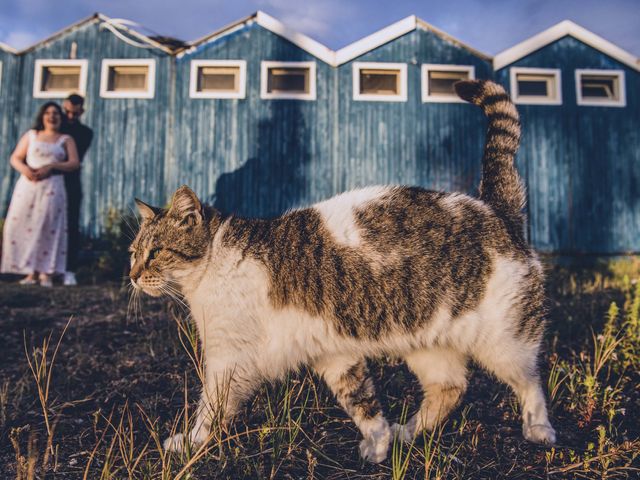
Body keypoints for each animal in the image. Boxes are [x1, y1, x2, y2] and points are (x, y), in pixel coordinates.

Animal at [129, 80, 556, 464]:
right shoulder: (333, 352)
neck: (214, 261)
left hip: (506, 342)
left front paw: (188, 443)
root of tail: (494, 209)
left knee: (530, 381)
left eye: (155, 252)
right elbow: (362, 403)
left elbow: (210, 410)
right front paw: (380, 444)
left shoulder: (228, 361)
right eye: (134, 252)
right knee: (451, 387)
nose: (132, 275)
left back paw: (539, 429)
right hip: (427, 344)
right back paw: (408, 432)